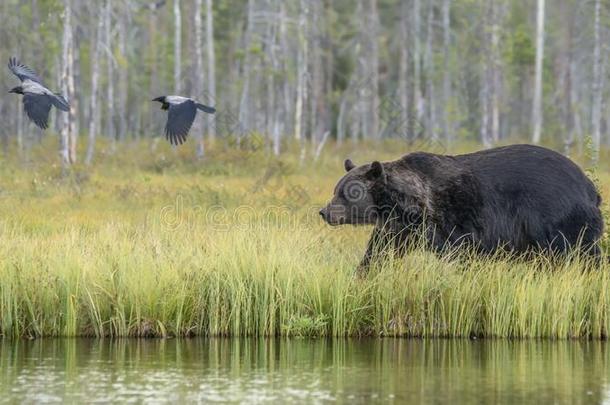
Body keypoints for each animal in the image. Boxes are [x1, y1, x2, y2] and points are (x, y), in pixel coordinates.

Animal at [318, 143, 604, 272]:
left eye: (345, 193)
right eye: (336, 189)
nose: (324, 212)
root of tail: (590, 186)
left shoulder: (456, 218)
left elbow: (461, 250)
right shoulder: (400, 228)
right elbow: (380, 250)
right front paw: (362, 273)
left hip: (557, 217)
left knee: (580, 251)